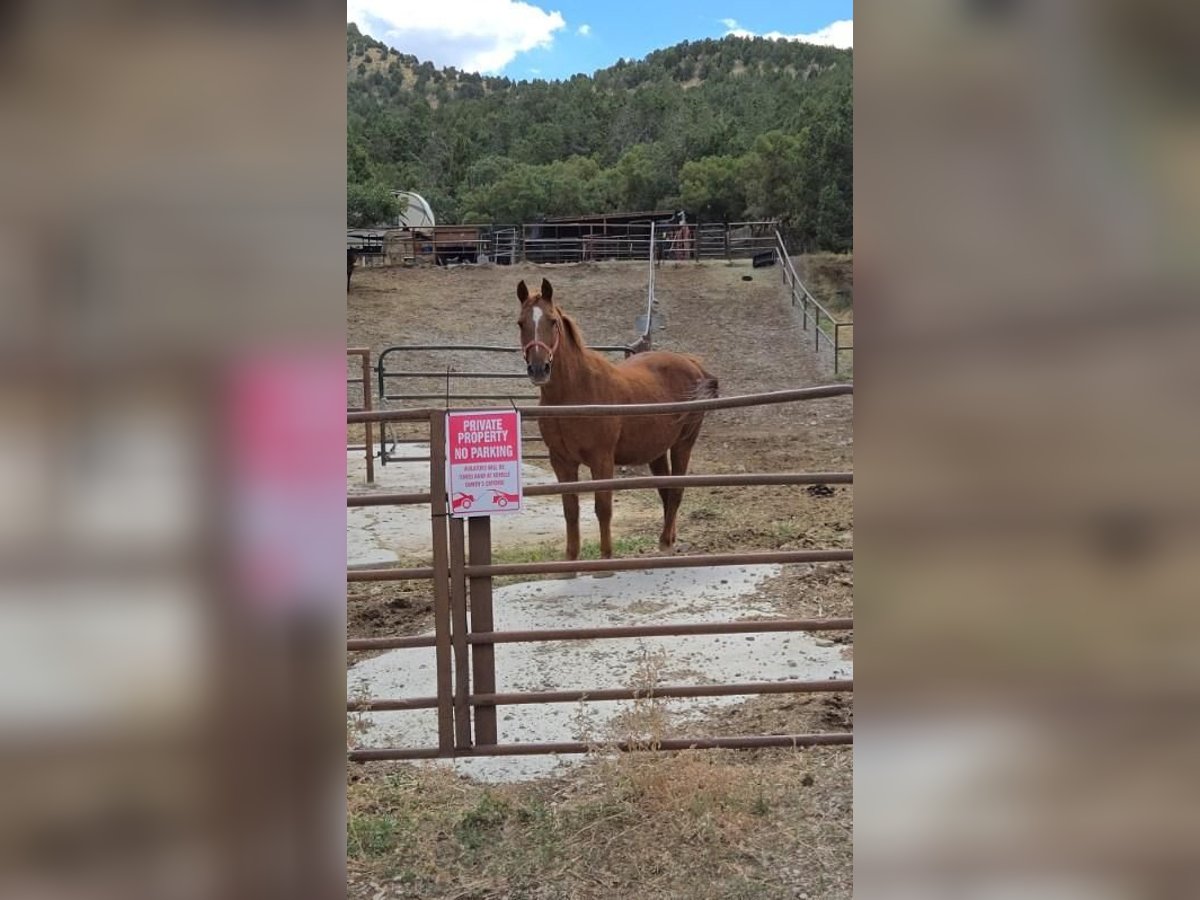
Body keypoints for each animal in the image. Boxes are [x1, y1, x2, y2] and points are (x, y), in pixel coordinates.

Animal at [513, 278, 715, 561]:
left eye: (552, 321)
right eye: (521, 323)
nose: (539, 369)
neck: (575, 393)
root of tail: (692, 363)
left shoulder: (602, 460)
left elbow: (603, 508)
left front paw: (606, 557)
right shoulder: (561, 461)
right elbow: (570, 510)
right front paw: (571, 559)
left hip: (683, 443)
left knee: (675, 491)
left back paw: (666, 543)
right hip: (656, 451)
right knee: (665, 491)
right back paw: (668, 538)